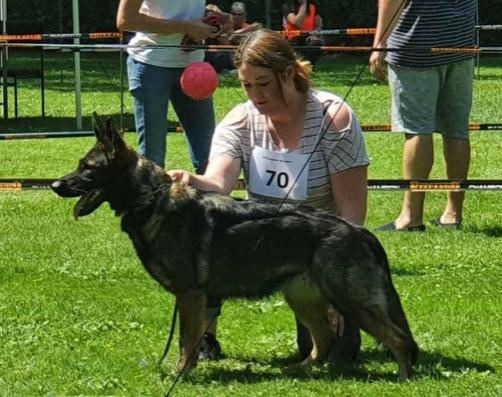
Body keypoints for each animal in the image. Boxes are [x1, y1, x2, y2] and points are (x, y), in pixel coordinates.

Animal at [52, 113, 420, 378]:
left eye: (87, 168)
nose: (55, 185)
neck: (151, 198)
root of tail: (358, 230)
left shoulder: (189, 295)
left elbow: (185, 341)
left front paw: (180, 375)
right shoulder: (195, 298)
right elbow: (191, 340)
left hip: (350, 300)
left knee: (398, 339)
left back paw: (403, 378)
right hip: (303, 298)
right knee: (324, 341)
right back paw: (298, 370)